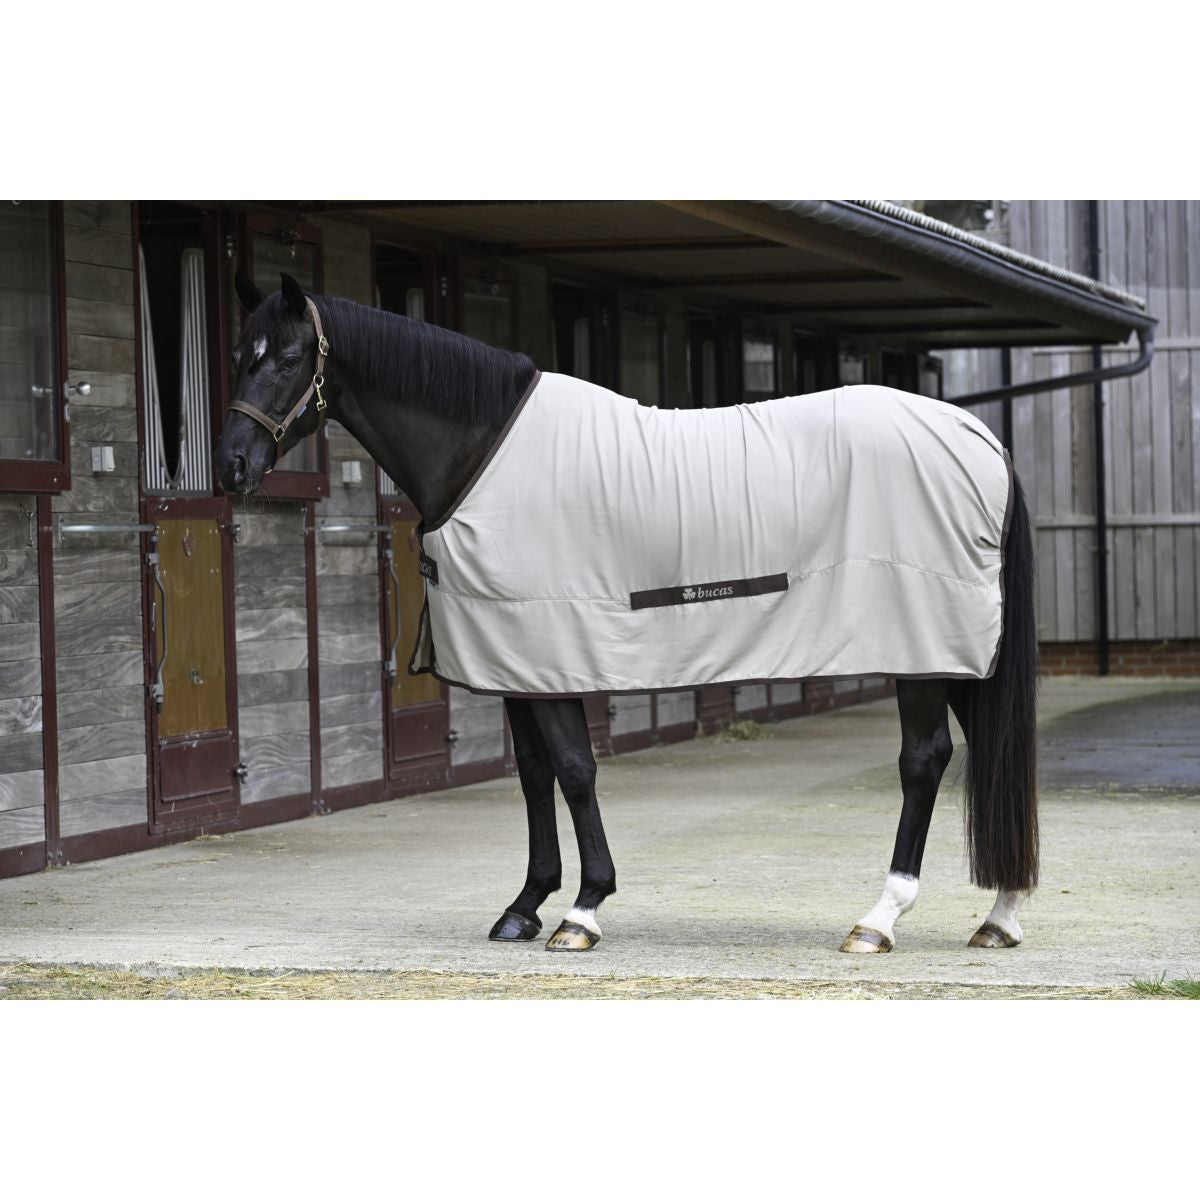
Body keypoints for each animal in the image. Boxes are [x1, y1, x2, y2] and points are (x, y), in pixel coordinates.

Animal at [214, 271, 1038, 955]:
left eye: (287, 358)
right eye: (237, 355)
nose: (230, 467)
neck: (484, 453)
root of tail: (981, 438)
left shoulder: (549, 647)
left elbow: (576, 771)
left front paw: (582, 911)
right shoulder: (515, 660)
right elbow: (534, 776)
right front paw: (525, 905)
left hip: (921, 651)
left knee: (924, 761)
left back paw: (878, 920)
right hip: (962, 650)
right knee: (988, 749)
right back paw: (999, 915)